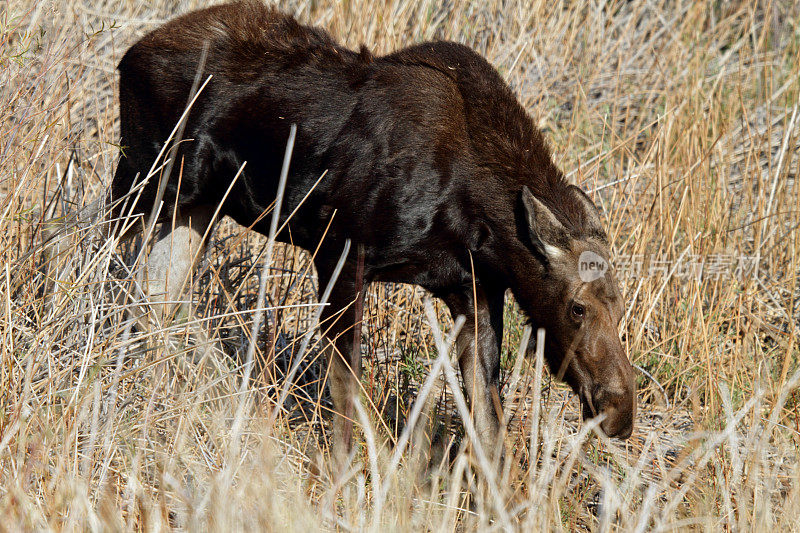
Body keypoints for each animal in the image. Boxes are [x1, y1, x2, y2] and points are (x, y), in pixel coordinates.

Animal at [111, 1, 636, 462]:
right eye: (577, 307)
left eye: (619, 307)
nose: (619, 412)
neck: (481, 222)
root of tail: (129, 56)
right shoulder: (340, 253)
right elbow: (347, 393)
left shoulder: (476, 295)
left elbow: (489, 434)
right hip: (145, 181)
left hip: (195, 206)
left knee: (157, 295)